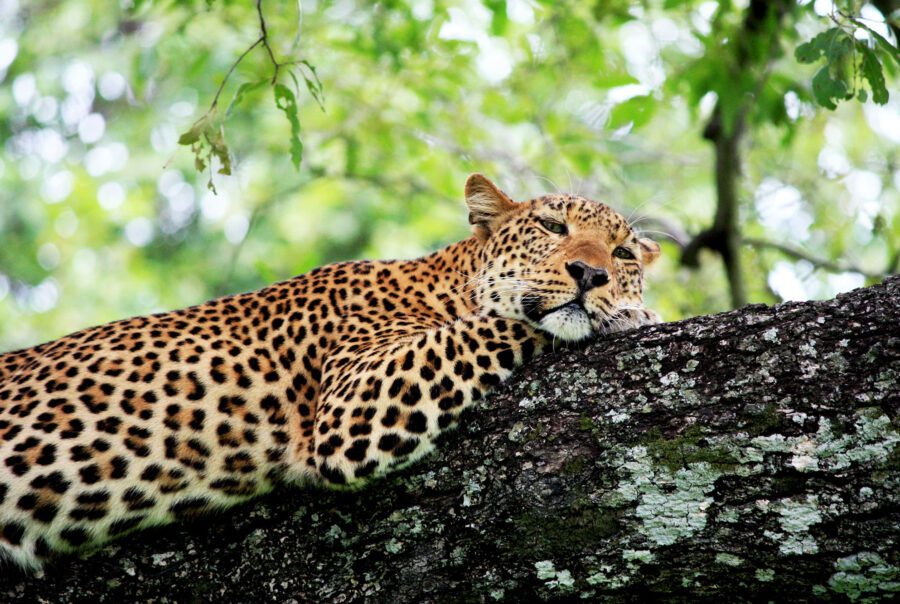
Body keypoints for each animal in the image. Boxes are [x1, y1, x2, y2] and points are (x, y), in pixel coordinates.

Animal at [0, 174, 660, 570]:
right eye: (552, 227)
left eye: (624, 252)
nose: (592, 275)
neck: (442, 282)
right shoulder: (357, 401)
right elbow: (499, 325)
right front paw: (635, 314)